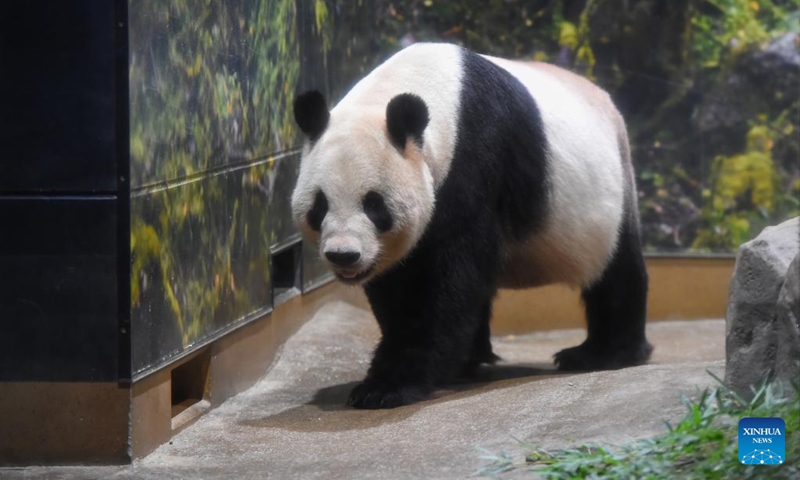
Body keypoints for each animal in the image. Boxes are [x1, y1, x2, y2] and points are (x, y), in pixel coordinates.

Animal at [290, 42, 652, 408]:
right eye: (320, 206)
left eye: (374, 205)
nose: (343, 255)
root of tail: (606, 101)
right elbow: (400, 282)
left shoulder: (476, 159)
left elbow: (448, 278)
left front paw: (386, 387)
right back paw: (470, 359)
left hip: (607, 197)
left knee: (616, 271)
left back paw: (602, 353)